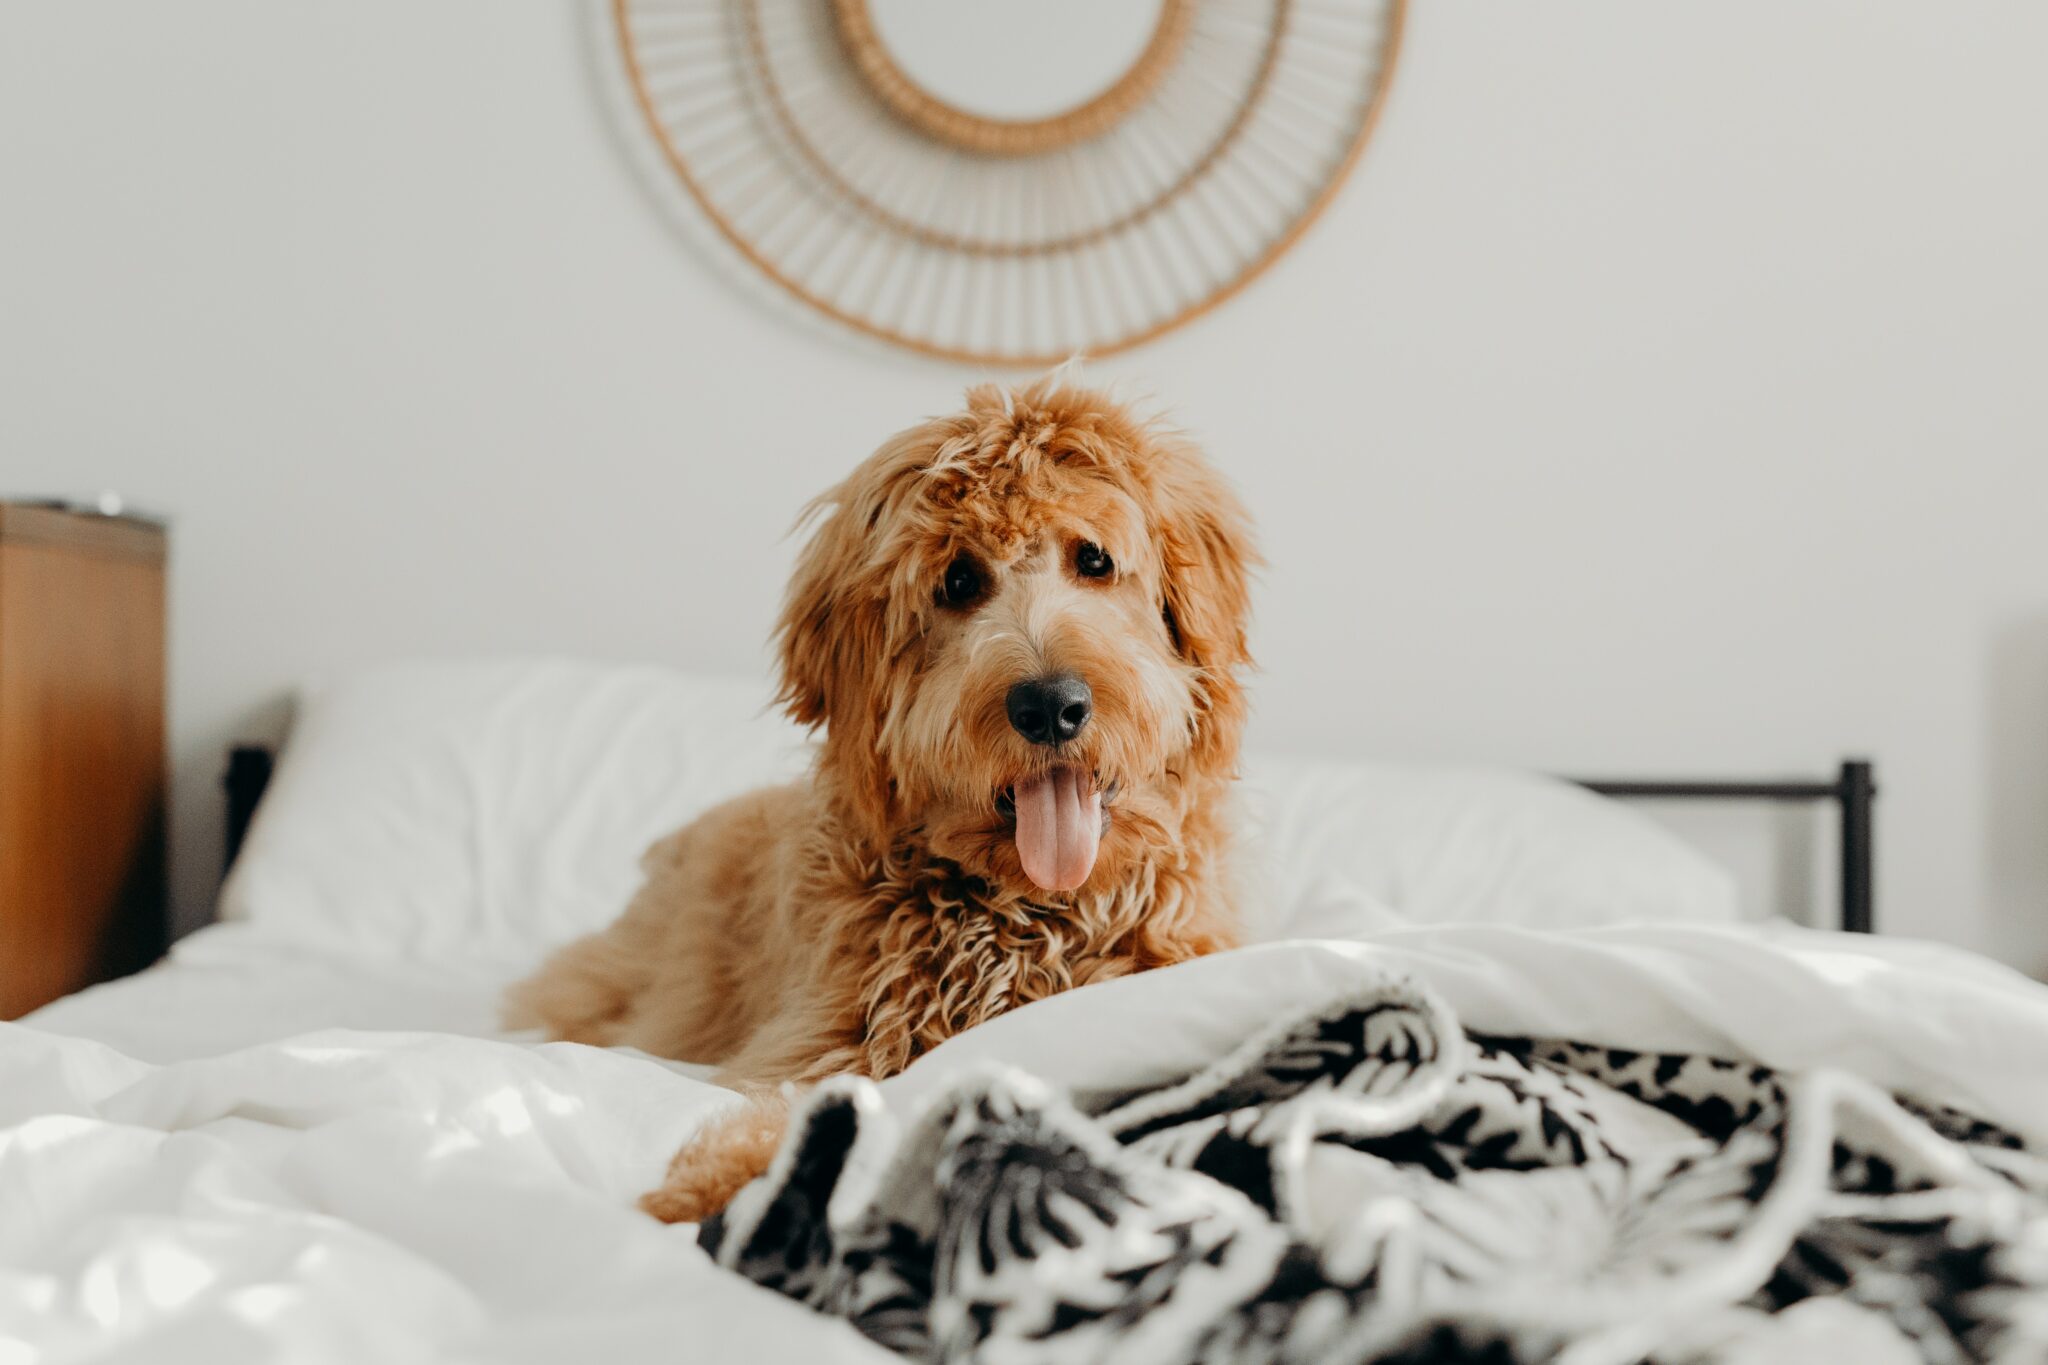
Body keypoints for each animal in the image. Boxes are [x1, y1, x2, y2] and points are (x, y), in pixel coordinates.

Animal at [503, 378, 1253, 1219]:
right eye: (958, 580)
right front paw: (722, 1179)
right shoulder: (827, 1037)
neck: (1030, 918)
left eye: (1094, 559)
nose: (1050, 704)